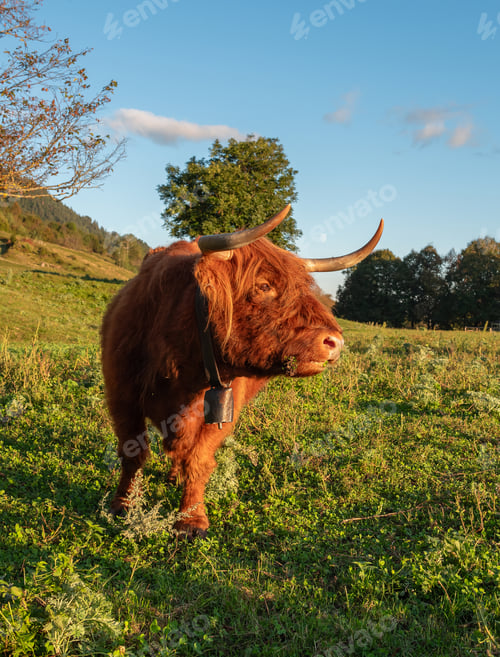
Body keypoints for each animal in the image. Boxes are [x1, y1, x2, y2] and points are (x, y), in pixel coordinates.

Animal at [101, 205, 383, 539]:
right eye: (264, 285)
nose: (335, 342)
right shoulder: (122, 394)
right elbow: (133, 453)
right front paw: (123, 504)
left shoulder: (224, 408)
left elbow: (198, 459)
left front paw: (191, 519)